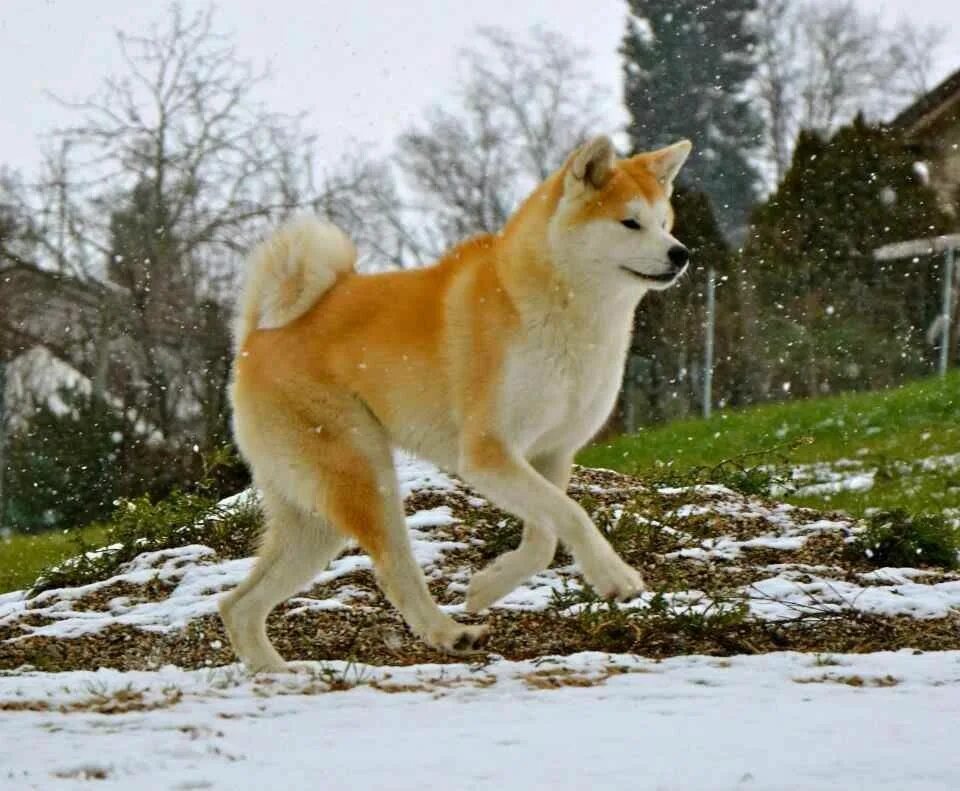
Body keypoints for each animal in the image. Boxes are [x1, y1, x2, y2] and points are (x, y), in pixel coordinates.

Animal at [221, 135, 688, 668]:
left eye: (665, 222)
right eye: (630, 222)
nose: (681, 254)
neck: (561, 309)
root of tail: (256, 336)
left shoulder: (551, 454)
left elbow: (545, 538)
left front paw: (487, 586)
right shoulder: (488, 455)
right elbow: (572, 515)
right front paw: (615, 577)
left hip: (313, 519)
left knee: (237, 606)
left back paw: (275, 674)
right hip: (366, 477)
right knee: (394, 570)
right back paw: (446, 633)